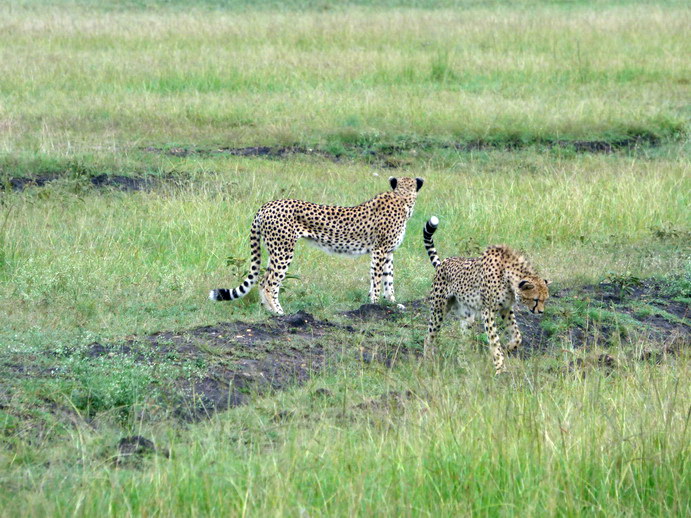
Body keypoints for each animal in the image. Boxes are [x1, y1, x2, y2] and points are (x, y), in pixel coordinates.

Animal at [208, 179, 424, 314]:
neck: (402, 198)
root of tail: (267, 205)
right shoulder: (379, 251)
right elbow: (377, 279)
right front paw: (374, 304)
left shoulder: (388, 252)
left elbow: (389, 278)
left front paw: (392, 302)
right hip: (284, 250)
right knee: (270, 283)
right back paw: (279, 312)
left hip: (274, 250)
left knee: (262, 280)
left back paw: (268, 310)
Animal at [422, 217, 552, 376]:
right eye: (536, 300)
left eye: (545, 300)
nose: (541, 312)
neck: (508, 277)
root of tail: (443, 263)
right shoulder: (488, 311)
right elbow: (494, 340)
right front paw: (500, 367)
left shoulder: (506, 309)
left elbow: (517, 335)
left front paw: (509, 347)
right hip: (439, 310)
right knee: (429, 336)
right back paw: (428, 361)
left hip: (467, 316)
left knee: (463, 341)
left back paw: (465, 366)